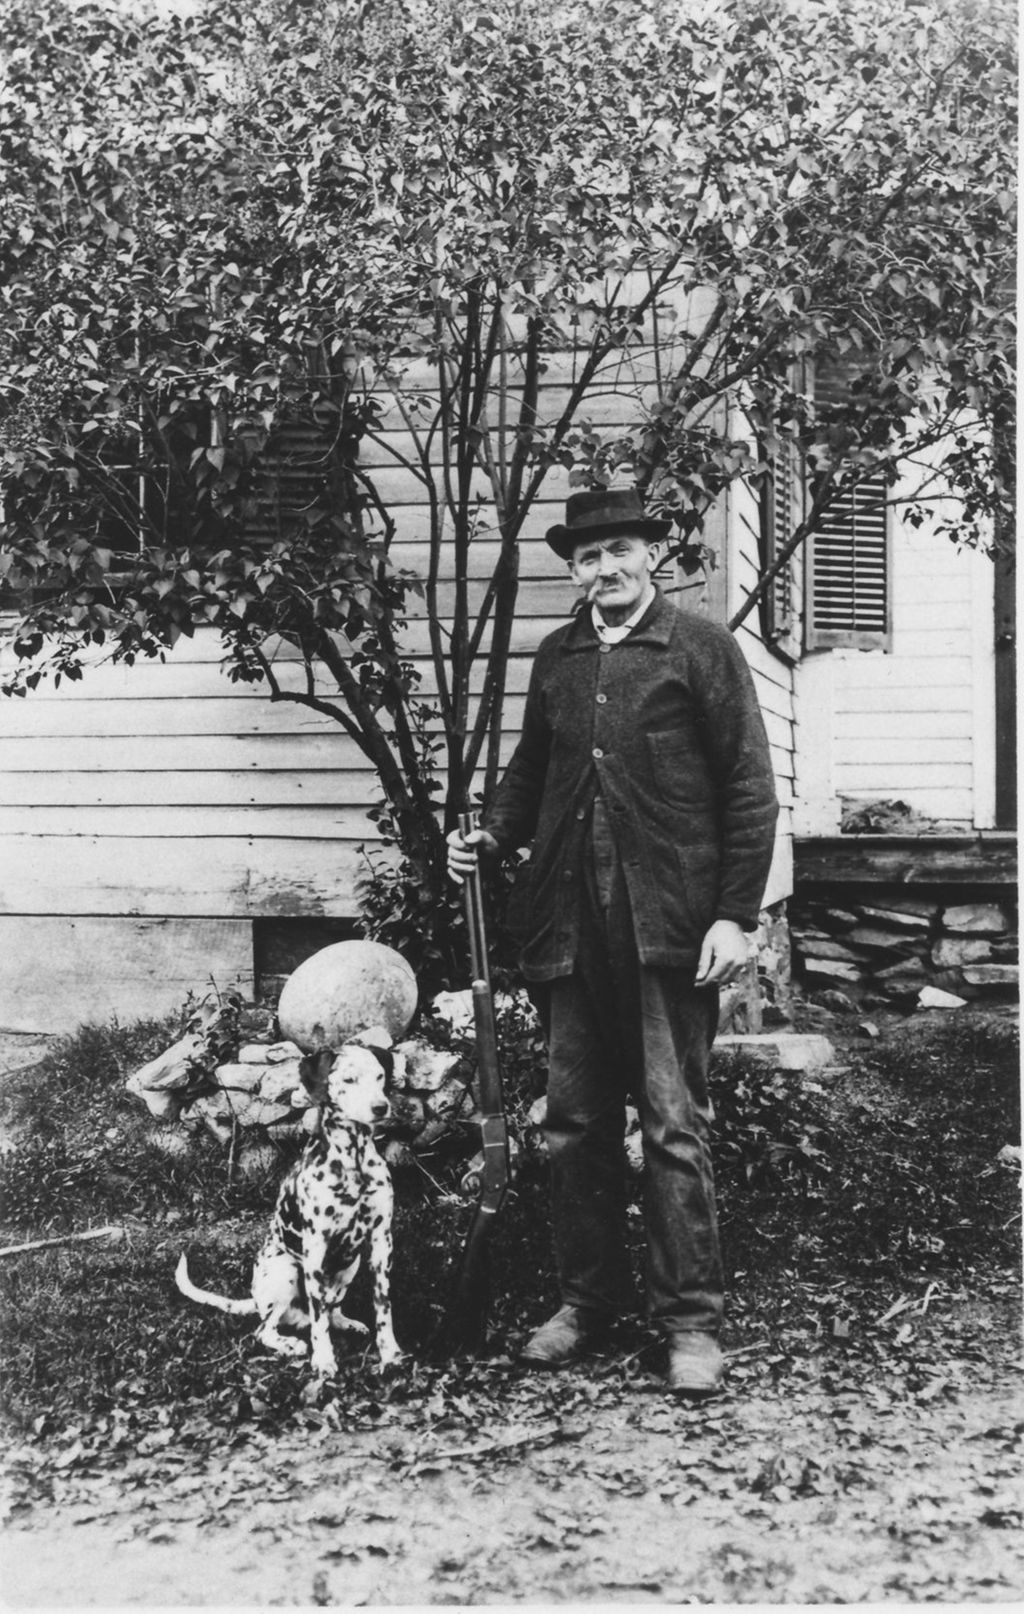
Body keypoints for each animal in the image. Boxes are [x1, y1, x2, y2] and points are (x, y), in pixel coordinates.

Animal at [173, 1032, 400, 1375]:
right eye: (349, 1079)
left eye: (379, 1077)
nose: (380, 1107)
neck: (354, 1161)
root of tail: (255, 1301)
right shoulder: (316, 1247)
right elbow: (319, 1322)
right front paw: (324, 1361)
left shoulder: (380, 1243)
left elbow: (383, 1308)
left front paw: (390, 1354)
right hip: (287, 1270)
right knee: (267, 1329)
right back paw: (291, 1344)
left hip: (351, 1265)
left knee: (330, 1310)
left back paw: (345, 1323)